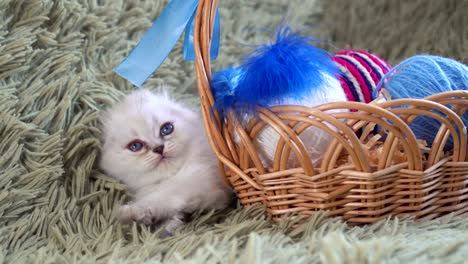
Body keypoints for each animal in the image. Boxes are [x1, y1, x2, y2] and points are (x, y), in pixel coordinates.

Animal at [99, 89, 232, 235]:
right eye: (135, 146)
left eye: (166, 129)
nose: (159, 148)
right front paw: (164, 225)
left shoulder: (202, 184)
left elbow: (162, 198)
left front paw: (129, 213)